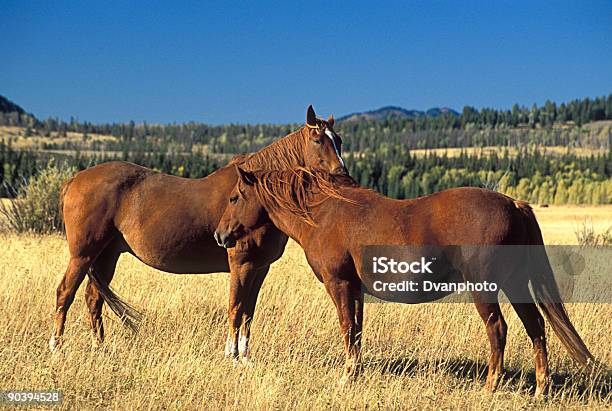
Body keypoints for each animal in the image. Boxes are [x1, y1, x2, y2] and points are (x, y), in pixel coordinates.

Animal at [51, 106, 350, 364]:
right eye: (317, 140)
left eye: (339, 141)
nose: (342, 176)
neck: (252, 197)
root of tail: (75, 180)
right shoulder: (241, 263)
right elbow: (235, 307)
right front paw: (231, 355)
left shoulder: (260, 267)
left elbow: (249, 312)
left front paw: (246, 357)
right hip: (83, 255)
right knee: (65, 292)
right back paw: (57, 347)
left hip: (107, 256)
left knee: (93, 298)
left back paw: (99, 347)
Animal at [213, 167, 596, 396]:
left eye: (233, 197)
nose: (219, 235)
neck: (324, 214)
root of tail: (514, 204)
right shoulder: (355, 289)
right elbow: (356, 329)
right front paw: (356, 373)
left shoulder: (339, 284)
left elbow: (347, 328)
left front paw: (347, 376)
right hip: (516, 285)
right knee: (536, 327)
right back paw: (541, 388)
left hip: (485, 288)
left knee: (498, 329)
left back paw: (490, 386)